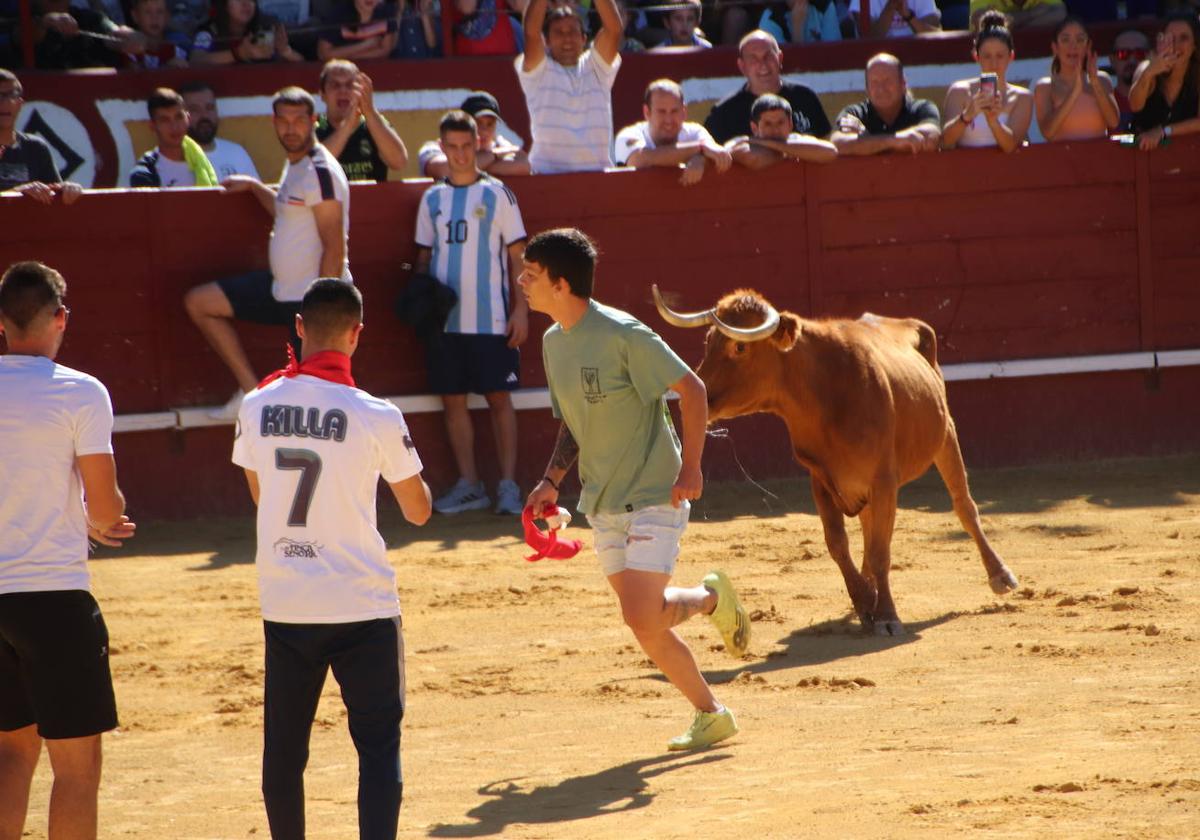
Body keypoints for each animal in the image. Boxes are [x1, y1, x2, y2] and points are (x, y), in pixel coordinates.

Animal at [652, 285, 1017, 633]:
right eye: (709, 341)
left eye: (739, 348)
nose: (696, 396)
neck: (825, 395)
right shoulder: (821, 480)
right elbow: (839, 543)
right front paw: (865, 601)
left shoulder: (883, 480)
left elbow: (880, 550)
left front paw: (886, 615)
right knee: (870, 528)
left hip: (946, 435)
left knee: (963, 505)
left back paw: (1000, 575)